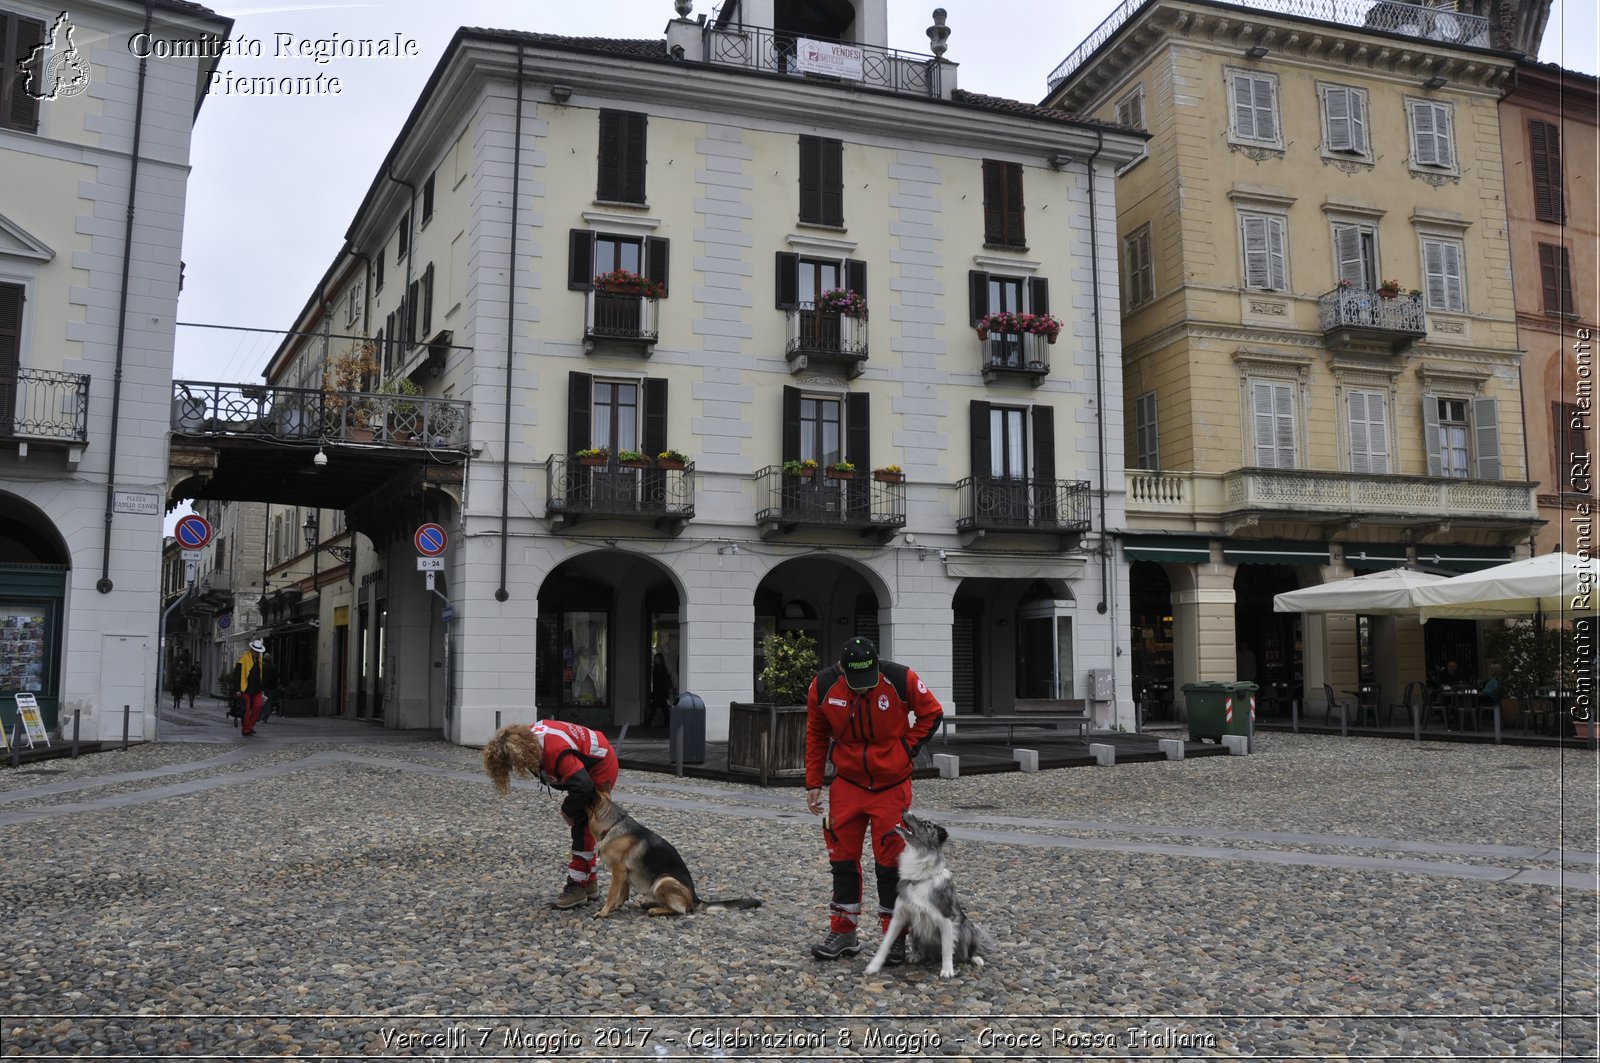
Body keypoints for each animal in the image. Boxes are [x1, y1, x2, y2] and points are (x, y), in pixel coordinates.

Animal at [582, 794, 761, 915]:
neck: (613, 825)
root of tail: (695, 898)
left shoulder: (618, 870)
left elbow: (612, 893)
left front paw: (604, 912)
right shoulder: (625, 872)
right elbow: (623, 893)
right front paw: (616, 907)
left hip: (663, 880)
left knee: (681, 910)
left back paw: (656, 910)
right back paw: (651, 904)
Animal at [864, 813, 985, 979]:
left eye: (926, 825)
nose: (905, 811)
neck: (919, 879)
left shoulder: (946, 919)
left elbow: (947, 948)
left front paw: (947, 970)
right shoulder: (899, 917)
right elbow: (885, 943)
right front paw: (874, 965)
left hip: (968, 928)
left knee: (966, 952)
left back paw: (975, 958)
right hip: (915, 930)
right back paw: (917, 955)